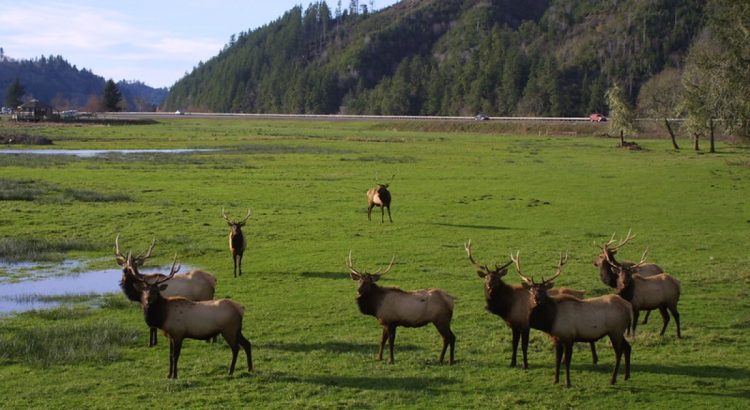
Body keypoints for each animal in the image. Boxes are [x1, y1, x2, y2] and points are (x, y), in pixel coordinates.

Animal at [465, 240, 596, 370]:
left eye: (497, 277)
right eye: (486, 277)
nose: (489, 285)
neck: (507, 306)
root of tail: (582, 293)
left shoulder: (525, 324)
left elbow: (524, 346)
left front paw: (525, 365)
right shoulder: (514, 325)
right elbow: (514, 344)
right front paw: (512, 363)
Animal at [515, 252, 633, 387]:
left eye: (543, 290)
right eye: (531, 290)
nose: (536, 299)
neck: (550, 321)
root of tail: (628, 307)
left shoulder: (568, 337)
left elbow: (567, 361)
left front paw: (567, 383)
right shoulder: (557, 338)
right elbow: (557, 360)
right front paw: (555, 380)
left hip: (615, 330)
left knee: (619, 351)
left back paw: (613, 379)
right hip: (619, 331)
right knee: (627, 347)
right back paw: (626, 376)